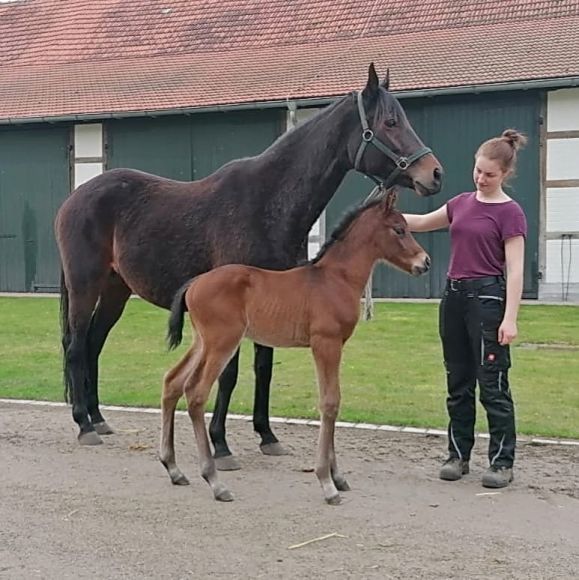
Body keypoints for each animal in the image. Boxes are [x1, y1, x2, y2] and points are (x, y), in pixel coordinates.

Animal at [159, 189, 430, 502]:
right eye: (399, 230)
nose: (425, 262)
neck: (335, 278)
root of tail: (194, 283)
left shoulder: (333, 345)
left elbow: (331, 400)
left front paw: (337, 477)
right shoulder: (326, 343)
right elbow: (330, 402)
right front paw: (327, 482)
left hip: (201, 341)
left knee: (173, 381)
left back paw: (173, 469)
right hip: (222, 342)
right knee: (196, 393)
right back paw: (215, 481)